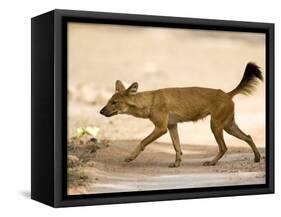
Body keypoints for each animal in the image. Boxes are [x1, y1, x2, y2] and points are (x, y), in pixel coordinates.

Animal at [99, 62, 262, 168]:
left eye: (114, 102)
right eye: (108, 101)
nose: (100, 111)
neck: (150, 101)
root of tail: (227, 94)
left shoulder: (161, 128)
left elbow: (142, 141)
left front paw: (130, 157)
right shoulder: (172, 125)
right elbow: (177, 146)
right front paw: (177, 163)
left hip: (216, 125)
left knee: (224, 147)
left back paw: (212, 162)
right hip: (228, 125)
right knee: (248, 136)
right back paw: (257, 158)